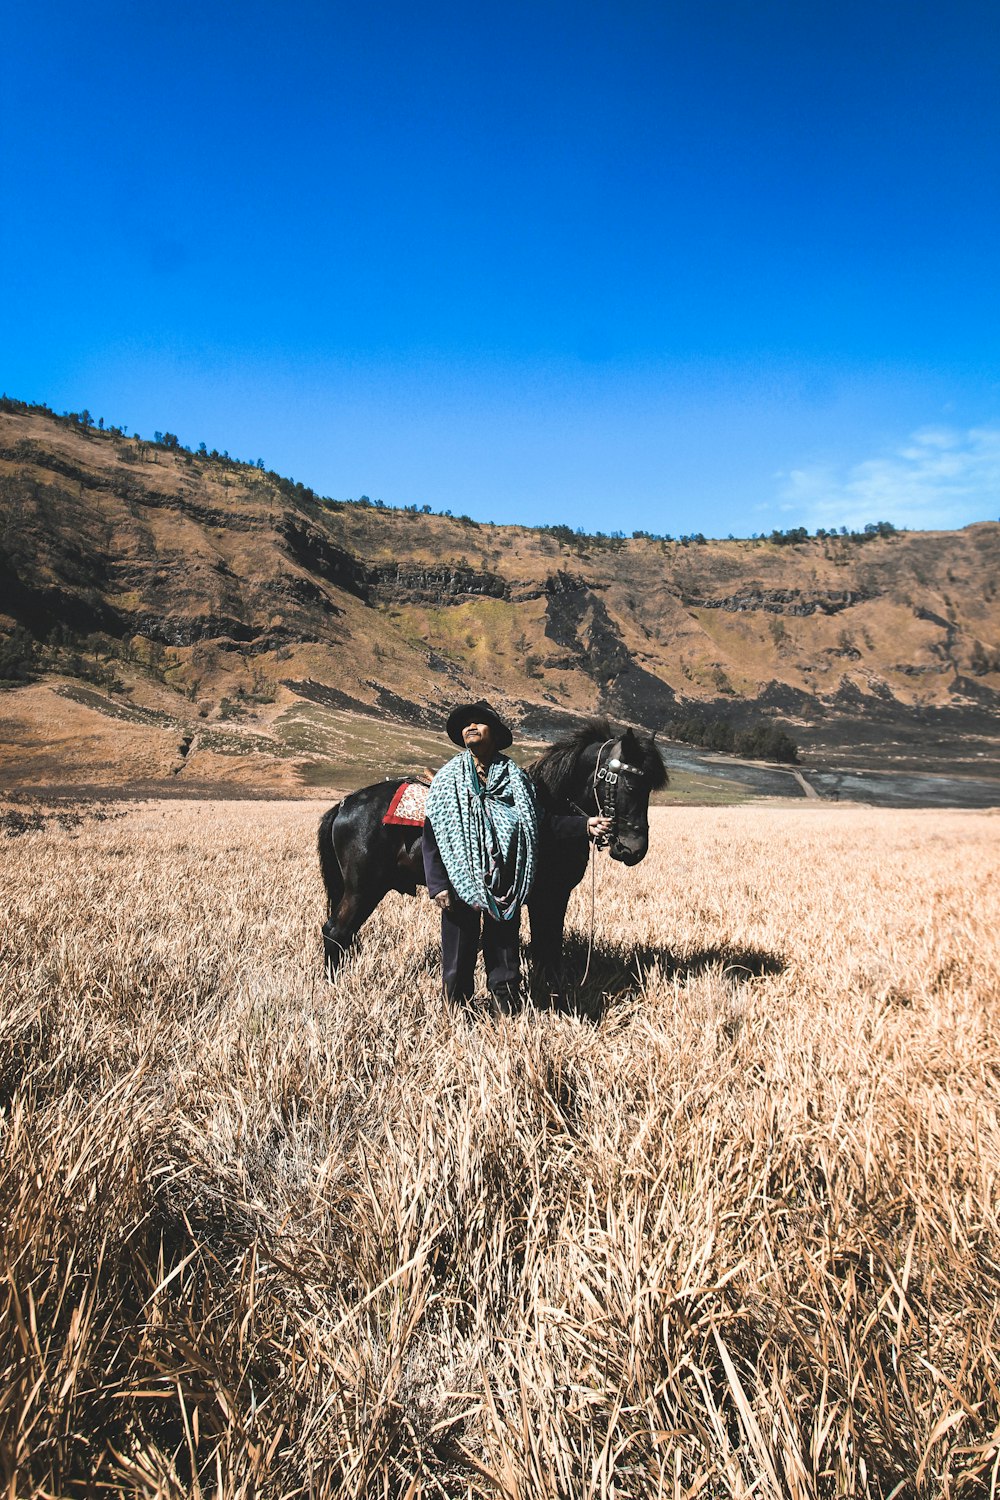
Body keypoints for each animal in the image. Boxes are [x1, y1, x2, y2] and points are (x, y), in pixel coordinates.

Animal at [316, 717, 668, 996]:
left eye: (649, 786)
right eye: (627, 783)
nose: (634, 849)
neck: (550, 806)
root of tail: (346, 804)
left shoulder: (556, 895)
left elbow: (549, 945)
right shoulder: (546, 896)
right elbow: (546, 945)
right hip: (363, 889)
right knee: (336, 932)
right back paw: (335, 987)